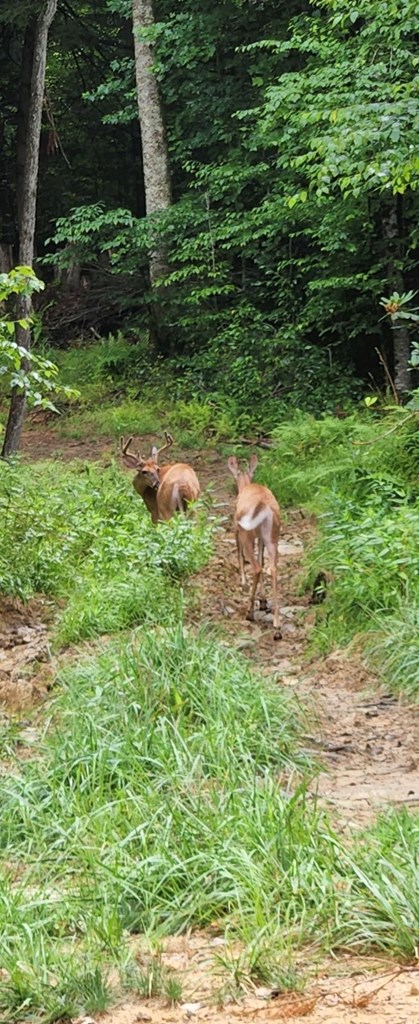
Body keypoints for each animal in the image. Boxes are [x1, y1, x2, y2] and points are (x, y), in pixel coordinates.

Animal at [227, 454, 278, 634]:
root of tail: (264, 506)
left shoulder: (236, 529)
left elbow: (239, 555)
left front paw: (243, 584)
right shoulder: (261, 538)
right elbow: (261, 559)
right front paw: (263, 600)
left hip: (246, 532)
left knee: (255, 567)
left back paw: (249, 612)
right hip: (273, 535)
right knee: (271, 568)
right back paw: (277, 626)